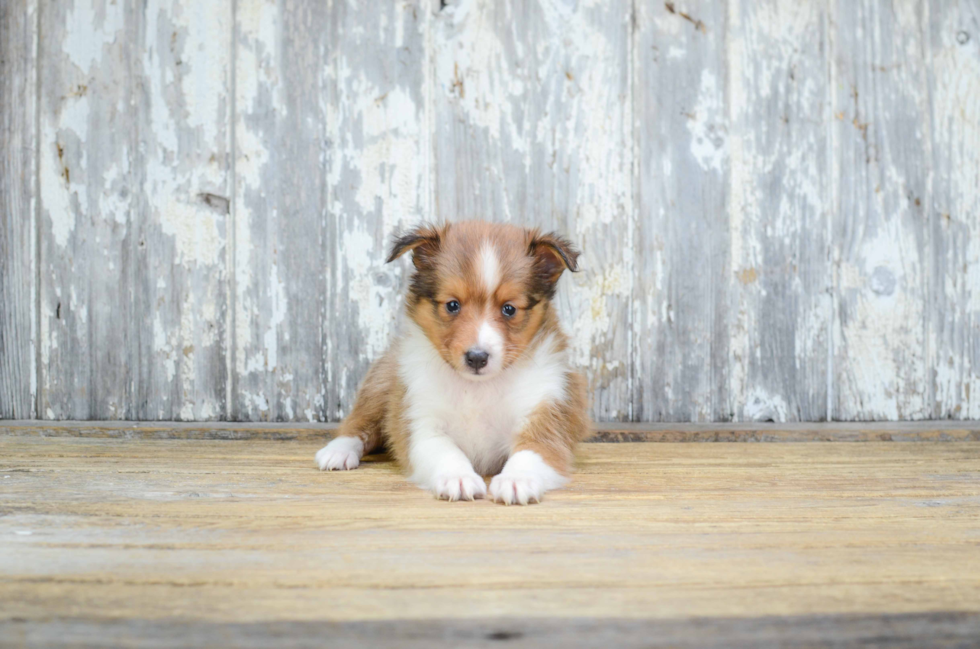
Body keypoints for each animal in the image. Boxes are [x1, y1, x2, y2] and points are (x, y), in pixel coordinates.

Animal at [314, 220, 588, 504]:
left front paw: (516, 480)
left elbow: (530, 452)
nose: (477, 357)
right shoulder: (422, 422)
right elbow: (446, 451)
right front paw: (458, 478)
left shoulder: (546, 416)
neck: (478, 388)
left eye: (509, 309)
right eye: (453, 305)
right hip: (381, 383)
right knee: (358, 425)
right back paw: (338, 452)